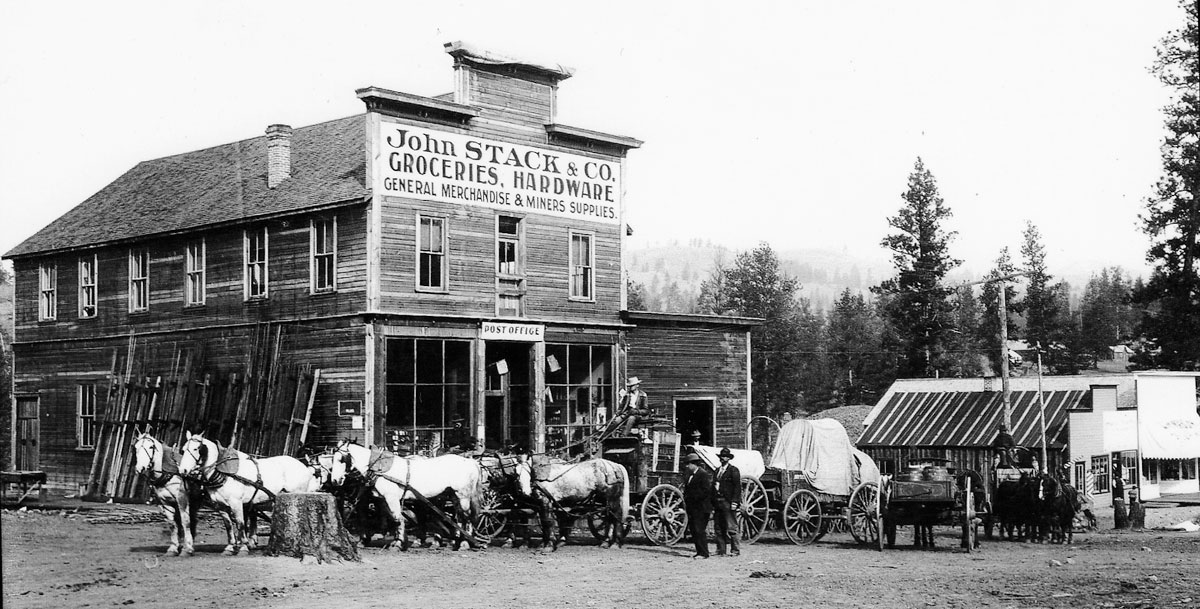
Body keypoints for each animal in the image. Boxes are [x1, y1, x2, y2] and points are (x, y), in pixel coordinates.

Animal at [175, 431, 314, 553]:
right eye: (183, 449)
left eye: (196, 449)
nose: (183, 470)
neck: (224, 472)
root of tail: (305, 468)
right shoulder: (220, 506)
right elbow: (229, 525)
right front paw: (230, 547)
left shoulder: (236, 503)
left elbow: (240, 524)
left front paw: (243, 547)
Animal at [328, 441, 482, 549]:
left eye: (341, 459)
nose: (335, 480)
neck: (380, 469)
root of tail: (471, 462)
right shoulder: (385, 499)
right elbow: (394, 518)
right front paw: (399, 541)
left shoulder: (391, 498)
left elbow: (397, 518)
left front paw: (398, 543)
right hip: (454, 496)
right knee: (460, 517)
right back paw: (458, 541)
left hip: (462, 495)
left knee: (466, 517)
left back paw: (464, 543)